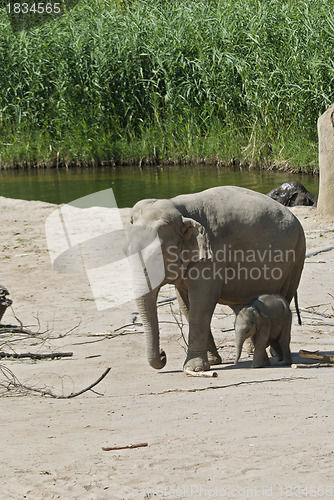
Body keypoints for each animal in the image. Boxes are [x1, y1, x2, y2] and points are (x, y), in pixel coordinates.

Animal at [128, 185, 306, 372]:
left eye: (157, 256)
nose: (163, 355)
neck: (181, 210)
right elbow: (186, 304)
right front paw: (212, 362)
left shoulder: (211, 254)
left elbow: (202, 302)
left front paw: (194, 368)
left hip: (296, 258)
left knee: (283, 296)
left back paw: (274, 353)